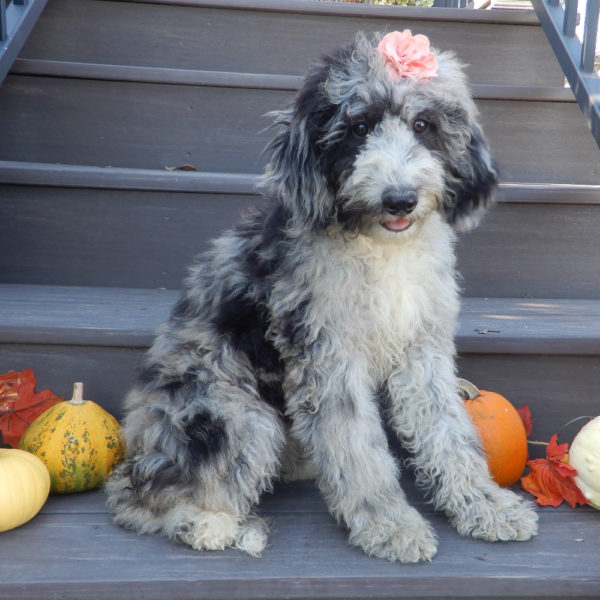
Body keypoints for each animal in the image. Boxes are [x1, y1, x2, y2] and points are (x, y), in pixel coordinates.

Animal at [106, 30, 540, 564]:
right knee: (141, 497)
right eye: (358, 126)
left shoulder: (422, 348)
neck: (381, 248)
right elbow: (357, 445)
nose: (400, 199)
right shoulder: (327, 353)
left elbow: (449, 431)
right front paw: (389, 524)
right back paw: (207, 524)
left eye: (423, 124)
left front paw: (487, 506)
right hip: (234, 418)